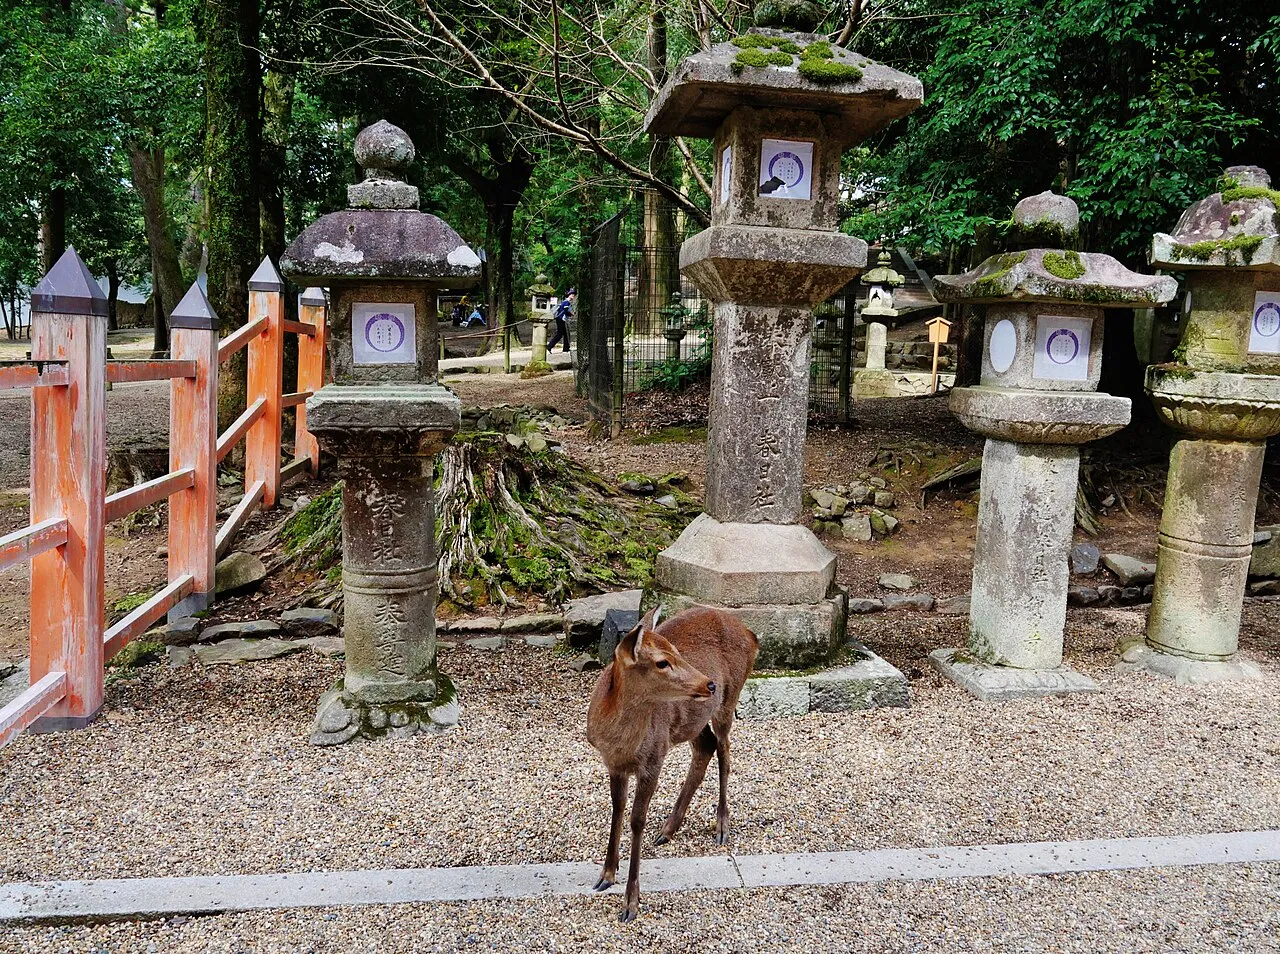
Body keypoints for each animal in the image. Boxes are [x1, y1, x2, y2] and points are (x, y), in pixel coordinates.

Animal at [586, 605, 759, 923]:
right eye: (662, 662)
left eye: (677, 652)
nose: (709, 683)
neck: (620, 741)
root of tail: (751, 634)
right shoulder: (613, 763)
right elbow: (617, 810)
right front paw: (606, 875)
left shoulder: (655, 757)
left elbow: (636, 820)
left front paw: (630, 903)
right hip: (692, 721)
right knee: (706, 747)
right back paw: (667, 830)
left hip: (729, 700)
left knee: (725, 752)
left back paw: (721, 826)